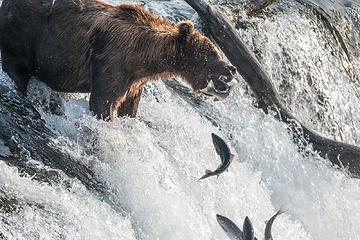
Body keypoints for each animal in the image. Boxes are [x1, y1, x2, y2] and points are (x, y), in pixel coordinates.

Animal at [0, 0, 236, 120]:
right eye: (212, 53)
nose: (232, 68)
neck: (146, 57)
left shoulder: (135, 81)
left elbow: (129, 105)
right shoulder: (113, 59)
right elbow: (103, 101)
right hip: (24, 35)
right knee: (17, 70)